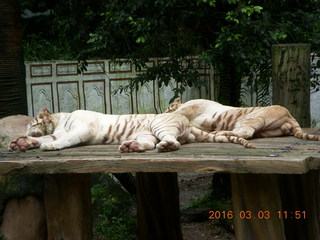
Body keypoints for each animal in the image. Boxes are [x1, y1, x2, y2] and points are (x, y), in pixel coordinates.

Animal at [165, 97, 320, 142]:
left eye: (168, 107)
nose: (165, 110)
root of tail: (290, 115)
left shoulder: (191, 107)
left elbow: (179, 112)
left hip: (252, 117)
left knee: (246, 133)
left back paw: (219, 133)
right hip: (267, 130)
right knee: (248, 133)